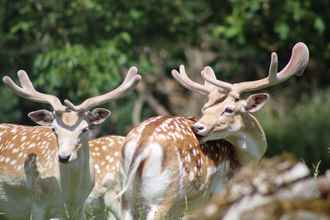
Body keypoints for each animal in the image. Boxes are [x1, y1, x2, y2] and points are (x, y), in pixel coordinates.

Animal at [0, 68, 141, 219]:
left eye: (85, 129)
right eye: (54, 129)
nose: (63, 157)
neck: (70, 195)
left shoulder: (80, 205)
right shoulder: (38, 202)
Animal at [119, 42, 310, 219]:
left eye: (228, 109)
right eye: (205, 108)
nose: (197, 127)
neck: (243, 162)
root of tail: (141, 146)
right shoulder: (217, 193)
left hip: (127, 199)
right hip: (163, 195)